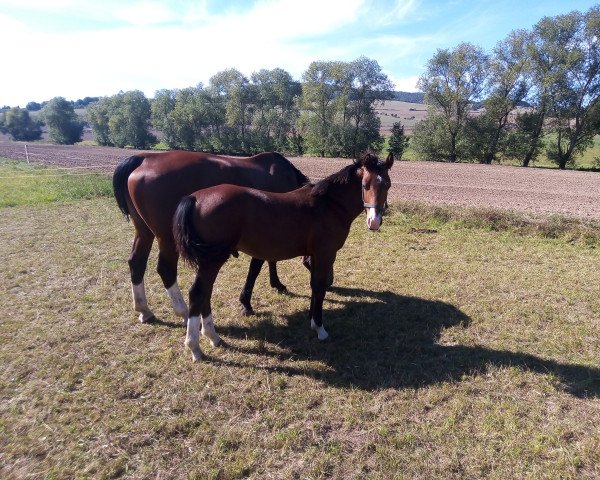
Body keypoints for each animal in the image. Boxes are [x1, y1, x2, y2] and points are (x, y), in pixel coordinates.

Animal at [112, 151, 310, 322]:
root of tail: (145, 158)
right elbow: (256, 267)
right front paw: (246, 302)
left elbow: (271, 260)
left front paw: (276, 284)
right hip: (167, 238)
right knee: (166, 270)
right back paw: (184, 312)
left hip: (144, 232)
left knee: (136, 263)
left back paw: (144, 310)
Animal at [172, 152, 394, 362]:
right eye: (365, 184)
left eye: (387, 184)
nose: (374, 221)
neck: (329, 205)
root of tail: (195, 198)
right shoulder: (325, 254)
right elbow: (319, 288)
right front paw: (320, 329)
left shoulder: (314, 255)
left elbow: (314, 287)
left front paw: (312, 320)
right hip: (212, 260)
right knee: (197, 293)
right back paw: (195, 347)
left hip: (209, 261)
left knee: (206, 292)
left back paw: (213, 337)